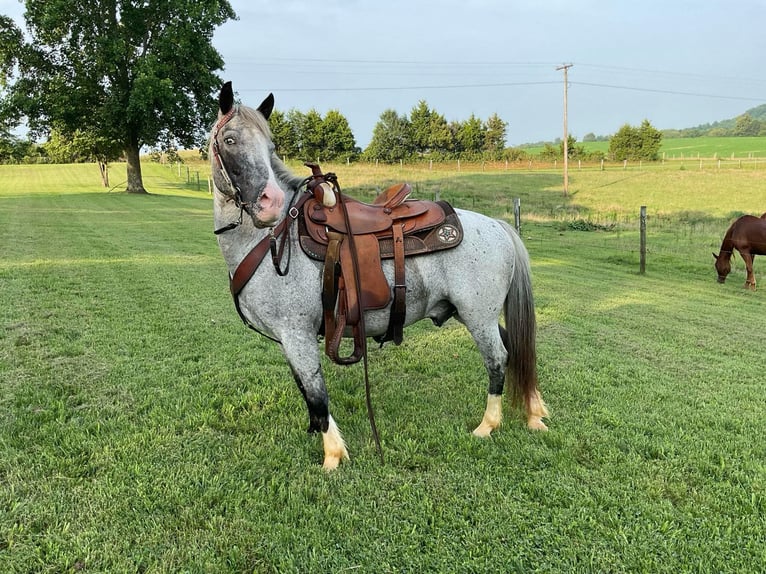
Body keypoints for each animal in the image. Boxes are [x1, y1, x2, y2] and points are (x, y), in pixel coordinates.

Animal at [208, 82, 548, 469]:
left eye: (270, 147)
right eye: (230, 140)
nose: (270, 203)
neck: (274, 238)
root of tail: (499, 226)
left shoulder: (296, 334)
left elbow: (316, 392)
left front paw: (332, 455)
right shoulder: (289, 339)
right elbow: (305, 390)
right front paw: (313, 431)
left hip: (478, 317)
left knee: (498, 359)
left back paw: (488, 425)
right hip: (475, 315)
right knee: (515, 347)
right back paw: (534, 413)